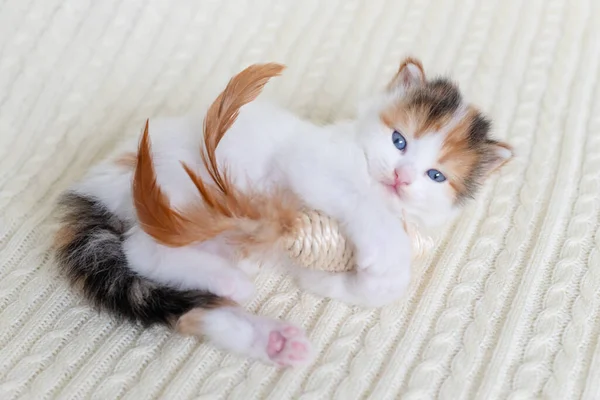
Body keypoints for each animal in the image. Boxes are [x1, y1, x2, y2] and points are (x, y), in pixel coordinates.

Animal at [55, 58, 510, 366]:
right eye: (399, 141)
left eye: (435, 175)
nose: (401, 177)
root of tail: (99, 179)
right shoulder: (309, 164)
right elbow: (368, 212)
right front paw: (383, 255)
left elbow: (381, 288)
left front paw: (329, 284)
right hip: (184, 190)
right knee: (141, 249)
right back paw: (233, 283)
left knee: (192, 308)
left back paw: (270, 338)